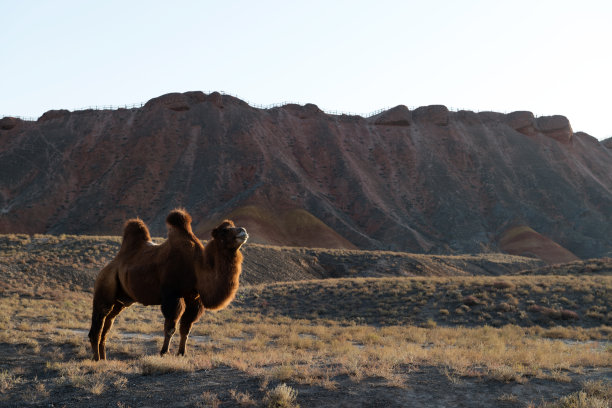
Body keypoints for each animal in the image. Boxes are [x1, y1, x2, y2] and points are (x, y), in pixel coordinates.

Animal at [86, 210, 249, 360]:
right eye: (225, 230)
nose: (243, 231)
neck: (197, 267)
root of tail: (106, 268)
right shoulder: (172, 295)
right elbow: (170, 327)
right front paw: (164, 352)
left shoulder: (194, 298)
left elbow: (186, 328)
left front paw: (182, 353)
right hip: (104, 287)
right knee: (99, 322)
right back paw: (96, 358)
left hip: (121, 301)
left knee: (108, 322)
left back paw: (104, 357)